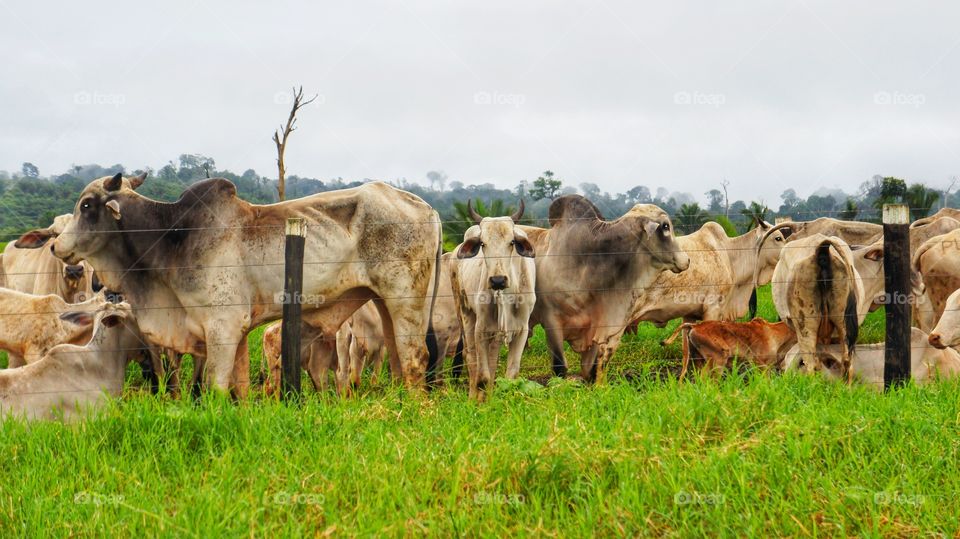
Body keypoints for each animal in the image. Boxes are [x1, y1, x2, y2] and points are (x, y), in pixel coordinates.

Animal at [15, 174, 442, 398]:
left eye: (87, 205)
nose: (57, 246)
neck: (171, 240)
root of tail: (426, 206)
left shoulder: (221, 327)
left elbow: (217, 386)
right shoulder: (235, 331)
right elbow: (240, 387)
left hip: (407, 300)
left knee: (416, 358)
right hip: (385, 304)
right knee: (401, 361)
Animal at [451, 200, 536, 401]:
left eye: (512, 242)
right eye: (483, 243)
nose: (497, 280)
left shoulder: (522, 329)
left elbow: (511, 374)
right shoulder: (480, 328)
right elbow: (483, 376)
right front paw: (481, 401)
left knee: (492, 358)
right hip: (464, 312)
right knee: (470, 356)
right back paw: (473, 396)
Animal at [519, 196, 689, 383]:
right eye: (665, 226)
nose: (687, 259)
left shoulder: (598, 326)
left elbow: (591, 370)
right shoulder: (551, 321)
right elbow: (560, 367)